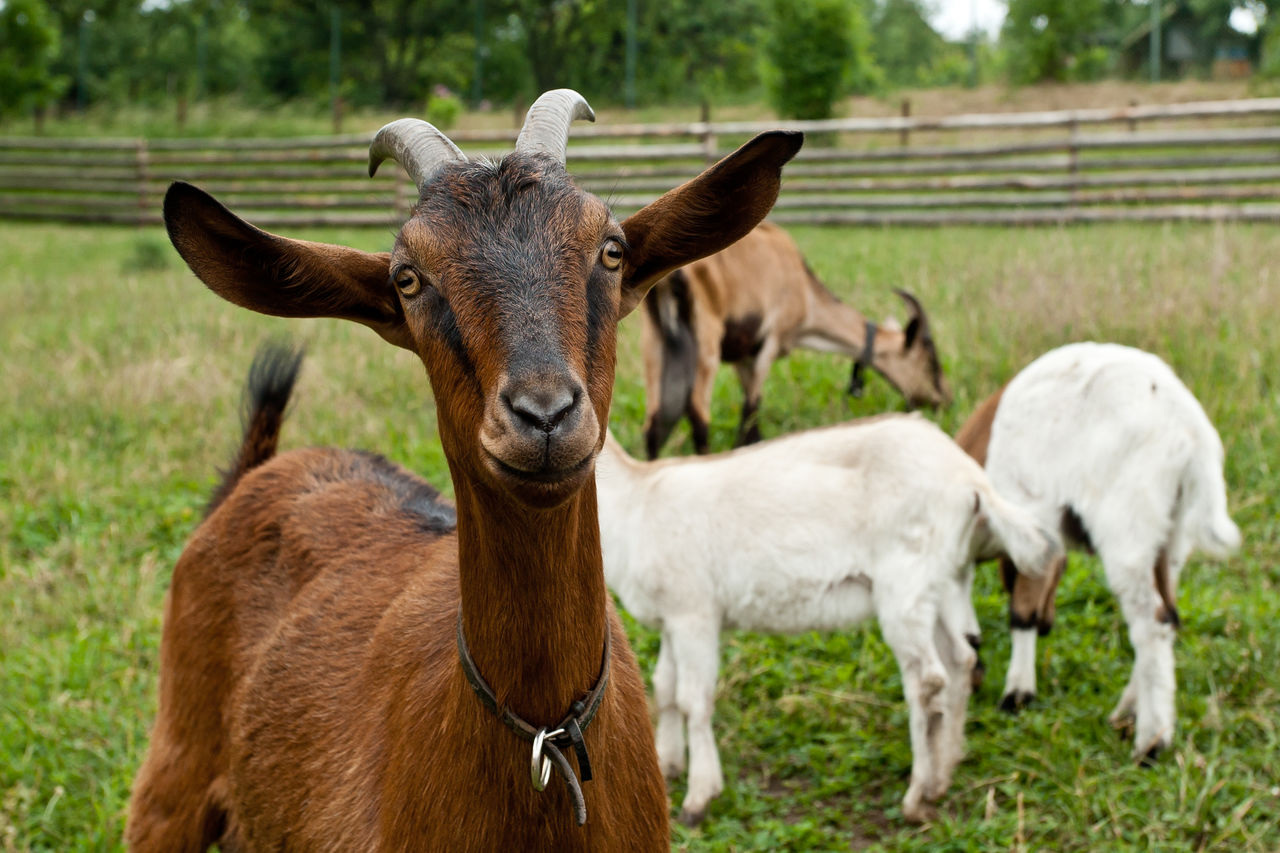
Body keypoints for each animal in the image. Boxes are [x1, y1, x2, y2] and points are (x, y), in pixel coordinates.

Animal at [122, 89, 798, 845]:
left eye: (612, 250)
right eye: (408, 278)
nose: (543, 413)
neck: (544, 740)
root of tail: (260, 471)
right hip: (169, 779)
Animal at [596, 414, 1059, 819]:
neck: (637, 501)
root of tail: (972, 480)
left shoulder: (695, 611)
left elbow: (694, 700)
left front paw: (699, 797)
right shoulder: (670, 618)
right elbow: (664, 689)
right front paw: (666, 765)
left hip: (905, 582)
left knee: (927, 681)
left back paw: (916, 796)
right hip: (944, 580)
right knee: (961, 660)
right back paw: (943, 775)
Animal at [640, 219, 952, 458]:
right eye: (932, 362)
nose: (945, 402)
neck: (805, 289)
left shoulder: (744, 355)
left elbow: (749, 409)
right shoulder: (771, 340)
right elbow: (751, 409)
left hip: (656, 342)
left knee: (652, 423)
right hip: (707, 337)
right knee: (698, 415)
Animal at [957, 340, 1233, 758]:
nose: (1050, 623)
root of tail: (1192, 431)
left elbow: (1020, 607)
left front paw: (1017, 693)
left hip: (1128, 526)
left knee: (1152, 623)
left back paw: (1151, 742)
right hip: (1171, 534)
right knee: (1168, 614)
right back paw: (1128, 712)